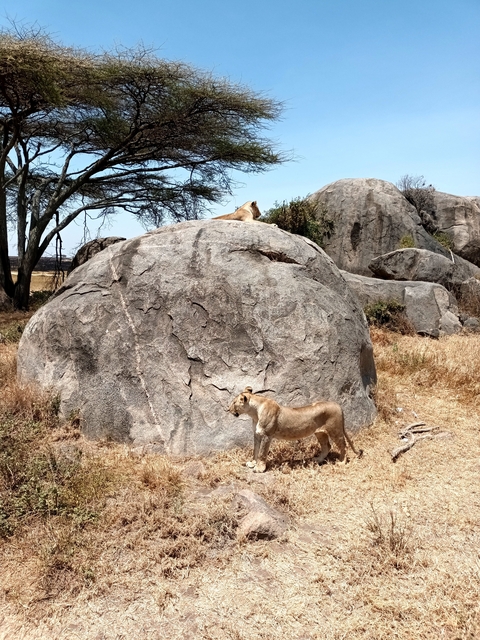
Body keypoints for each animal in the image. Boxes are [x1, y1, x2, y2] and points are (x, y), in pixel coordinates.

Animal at [228, 387, 361, 473]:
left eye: (234, 402)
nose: (227, 409)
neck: (254, 413)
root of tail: (338, 405)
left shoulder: (267, 435)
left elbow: (261, 453)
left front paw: (259, 468)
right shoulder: (257, 435)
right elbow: (255, 451)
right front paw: (252, 463)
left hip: (335, 430)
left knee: (344, 446)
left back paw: (342, 462)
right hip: (320, 433)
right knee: (327, 446)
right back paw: (317, 460)